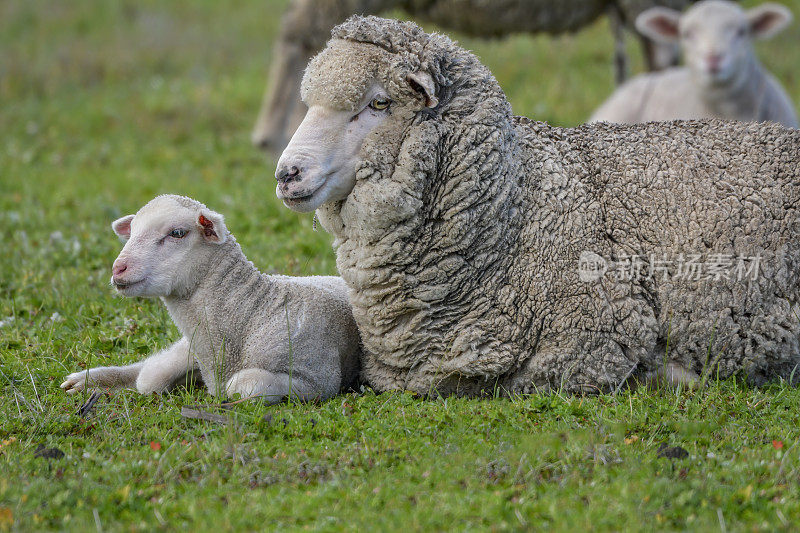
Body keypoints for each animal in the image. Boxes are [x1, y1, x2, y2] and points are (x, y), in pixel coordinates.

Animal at [61, 195, 360, 404]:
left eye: (177, 233)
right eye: (131, 232)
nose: (118, 269)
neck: (254, 313)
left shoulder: (318, 378)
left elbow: (243, 385)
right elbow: (151, 378)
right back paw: (86, 381)